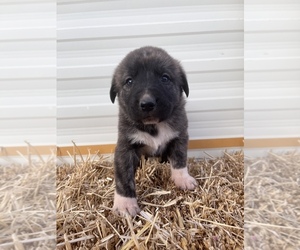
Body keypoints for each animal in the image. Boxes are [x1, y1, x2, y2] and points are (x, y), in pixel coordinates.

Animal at [109, 47, 197, 217]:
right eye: (129, 81)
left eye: (165, 78)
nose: (147, 103)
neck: (153, 125)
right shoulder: (125, 147)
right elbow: (123, 177)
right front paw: (125, 203)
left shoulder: (179, 136)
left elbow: (179, 159)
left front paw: (182, 178)